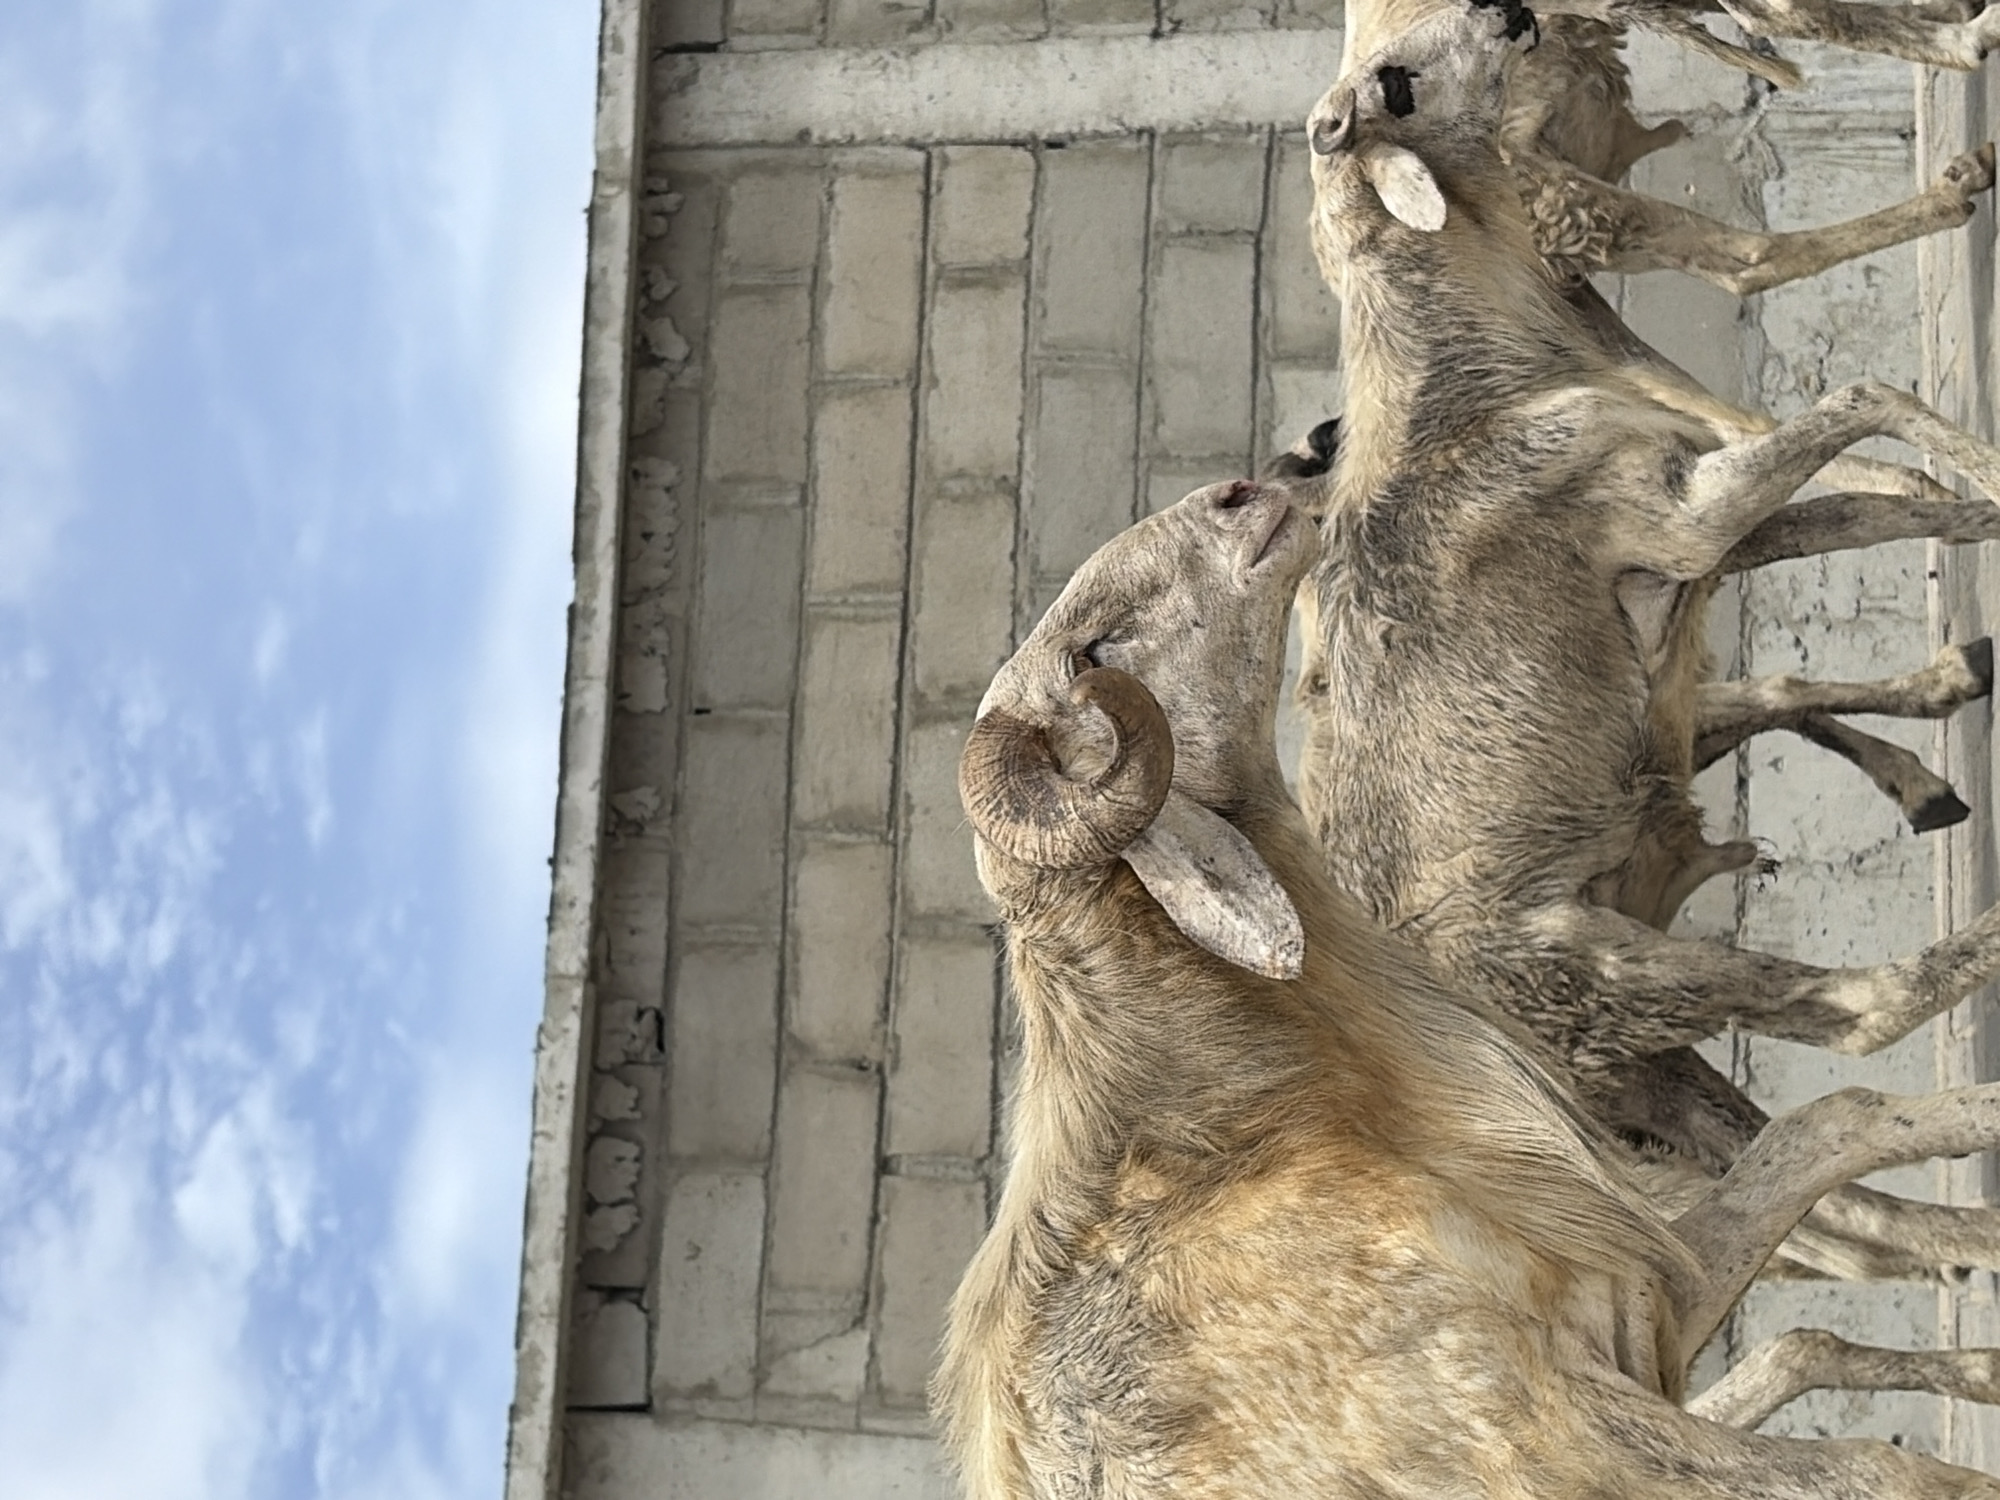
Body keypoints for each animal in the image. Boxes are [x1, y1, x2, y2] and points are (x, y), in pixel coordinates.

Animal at [938, 480, 2000, 1497]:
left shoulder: (1644, 1301)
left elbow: (1834, 1129)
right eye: (1094, 653)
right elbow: (1882, 1465)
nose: (1241, 494)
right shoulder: (1567, 1429)